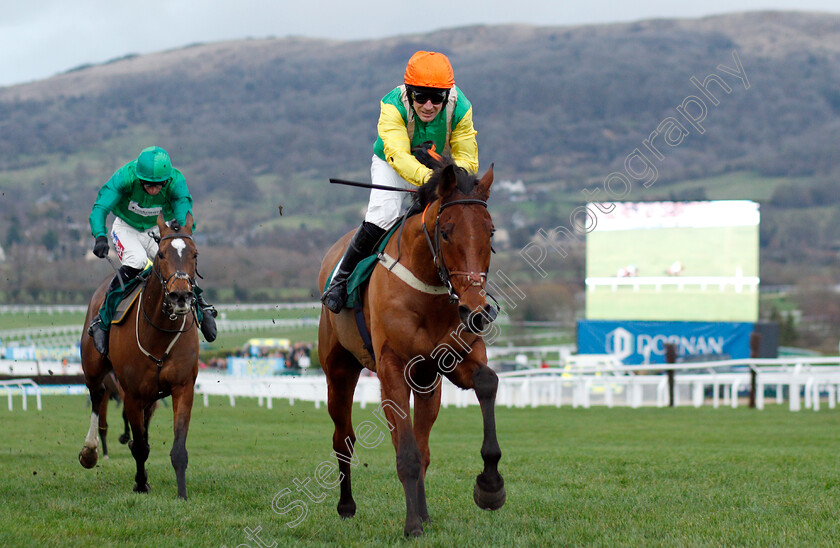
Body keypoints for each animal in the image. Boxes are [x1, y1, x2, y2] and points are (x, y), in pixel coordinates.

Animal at [80, 214, 202, 500]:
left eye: (194, 254)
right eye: (161, 254)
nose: (181, 296)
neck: (159, 333)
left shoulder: (182, 387)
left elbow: (177, 448)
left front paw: (182, 494)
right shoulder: (132, 394)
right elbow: (140, 447)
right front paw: (140, 483)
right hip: (94, 368)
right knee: (97, 395)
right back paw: (90, 451)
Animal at [318, 158, 506, 536]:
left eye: (491, 232)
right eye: (446, 231)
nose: (477, 311)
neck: (429, 289)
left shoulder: (450, 361)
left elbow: (487, 382)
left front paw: (490, 486)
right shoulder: (392, 368)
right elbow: (405, 453)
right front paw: (412, 525)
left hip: (427, 383)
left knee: (422, 445)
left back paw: (425, 511)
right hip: (339, 370)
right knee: (343, 438)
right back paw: (347, 506)